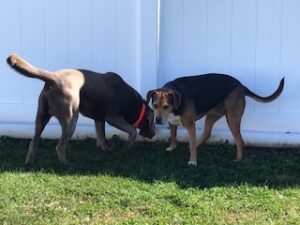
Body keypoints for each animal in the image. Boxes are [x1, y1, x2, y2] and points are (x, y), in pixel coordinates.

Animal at [7, 52, 155, 165]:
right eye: (152, 121)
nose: (153, 134)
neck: (134, 103)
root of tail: (53, 78)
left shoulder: (99, 119)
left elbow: (101, 136)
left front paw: (106, 149)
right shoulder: (112, 117)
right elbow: (132, 131)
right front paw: (127, 148)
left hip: (41, 117)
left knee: (33, 142)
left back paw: (29, 164)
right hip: (71, 118)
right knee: (60, 146)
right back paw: (67, 165)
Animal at [147, 74, 284, 165]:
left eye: (166, 106)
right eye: (154, 105)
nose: (157, 120)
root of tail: (241, 86)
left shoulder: (190, 125)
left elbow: (191, 142)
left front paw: (193, 161)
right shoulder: (172, 122)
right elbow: (173, 135)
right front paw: (172, 147)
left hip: (232, 118)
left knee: (240, 140)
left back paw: (238, 159)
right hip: (212, 115)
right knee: (207, 133)